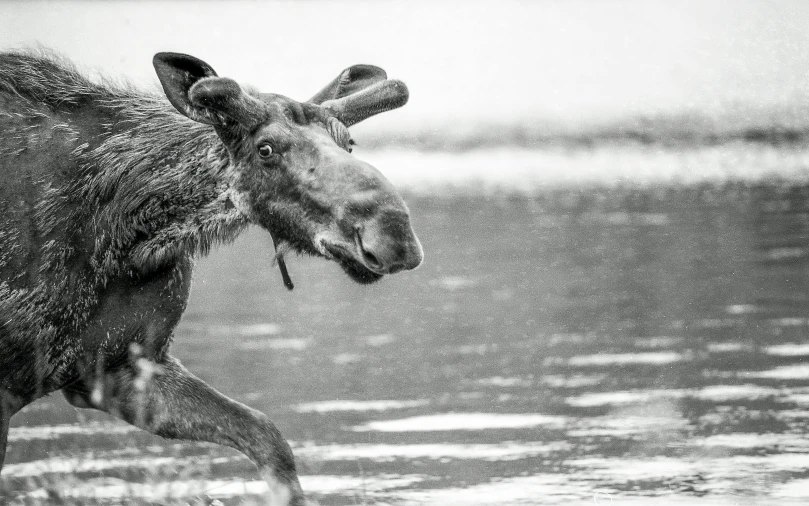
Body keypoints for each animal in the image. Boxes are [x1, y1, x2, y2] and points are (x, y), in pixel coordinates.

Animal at [0, 49, 422, 504]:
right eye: (265, 149)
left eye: (349, 143)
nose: (393, 233)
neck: (123, 232)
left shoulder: (119, 368)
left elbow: (268, 437)